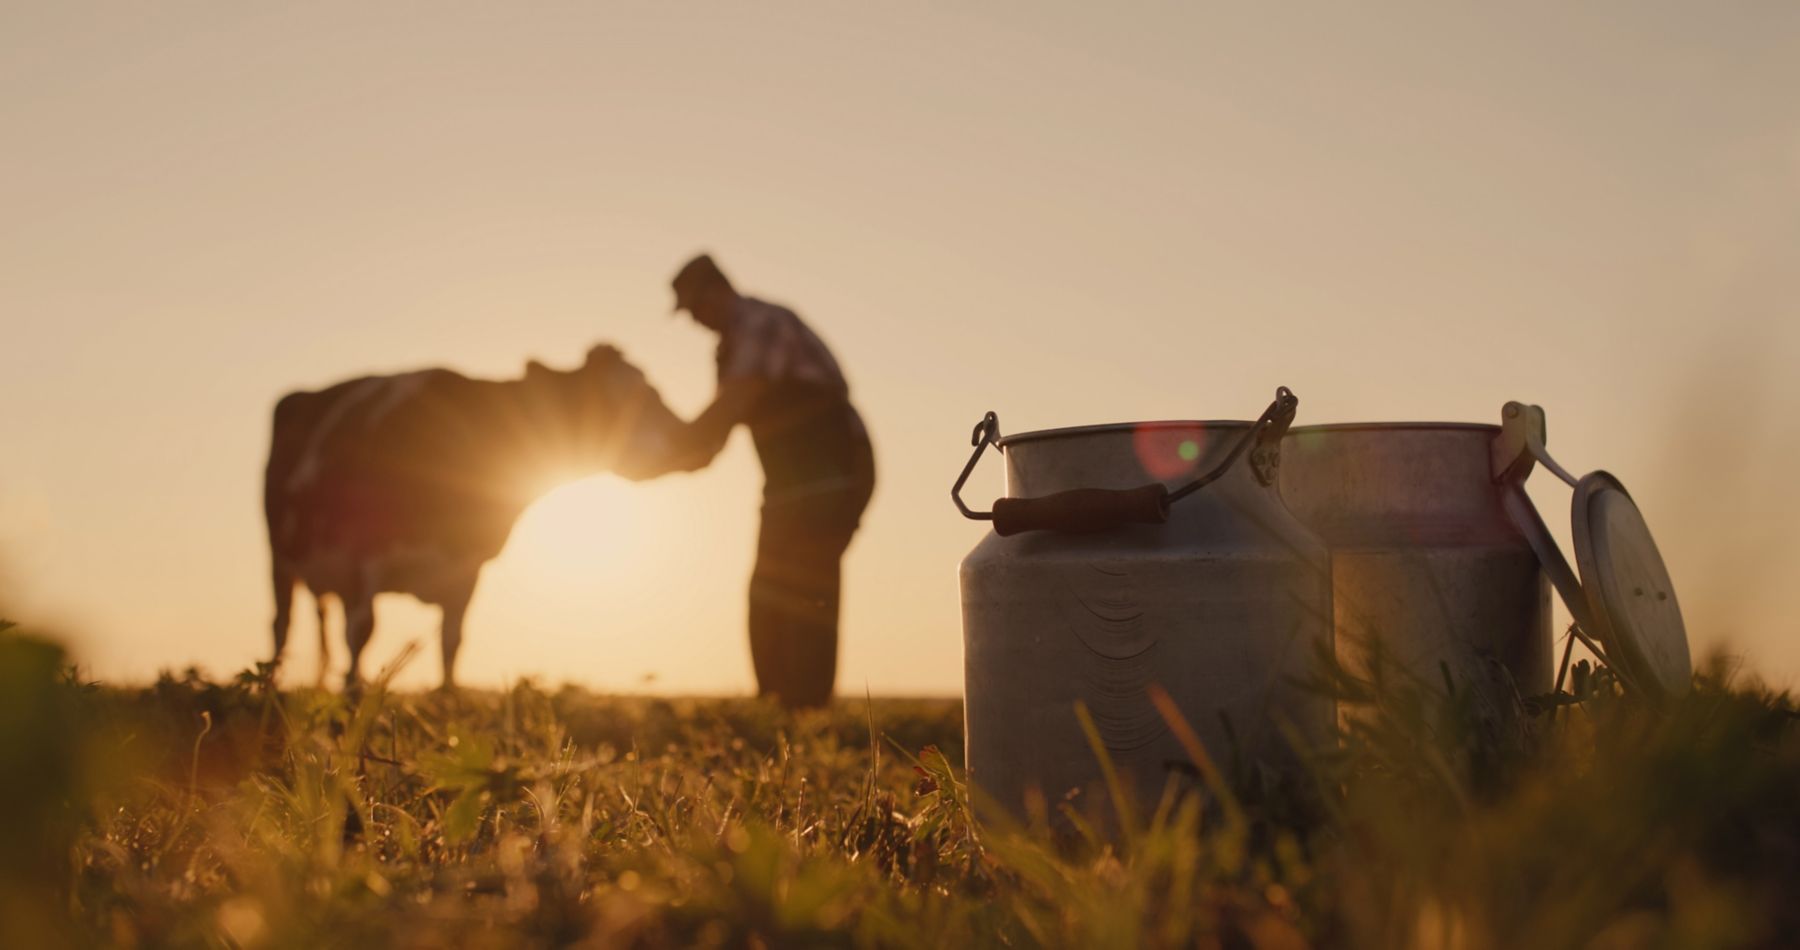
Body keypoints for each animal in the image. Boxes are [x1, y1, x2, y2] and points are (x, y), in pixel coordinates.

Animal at [264, 343, 680, 689]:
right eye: (620, 399)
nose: (685, 438)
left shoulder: (467, 569)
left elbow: (452, 642)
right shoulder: (363, 554)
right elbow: (362, 633)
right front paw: (350, 706)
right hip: (280, 557)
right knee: (282, 625)